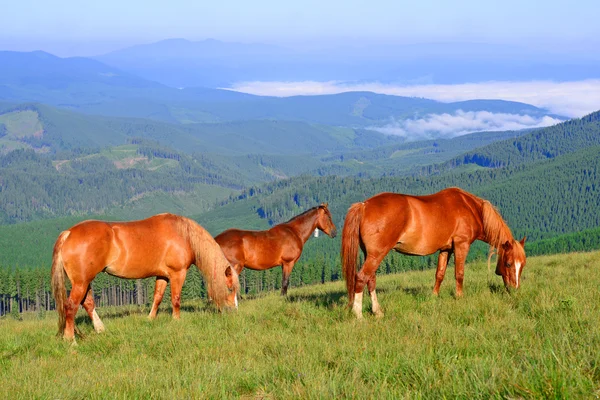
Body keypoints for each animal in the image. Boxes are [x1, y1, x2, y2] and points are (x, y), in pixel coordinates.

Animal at [51, 212, 239, 340]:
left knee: (88, 303)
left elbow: (157, 297)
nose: (234, 312)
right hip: (81, 282)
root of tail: (69, 233)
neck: (184, 235)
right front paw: (176, 320)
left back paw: (100, 329)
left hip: (85, 281)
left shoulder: (163, 276)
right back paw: (71, 340)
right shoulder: (177, 273)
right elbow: (176, 299)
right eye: (230, 288)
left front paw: (150, 319)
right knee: (71, 306)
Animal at [342, 188, 524, 318]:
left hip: (371, 254)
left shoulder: (445, 249)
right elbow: (459, 274)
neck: (470, 208)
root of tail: (364, 205)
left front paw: (434, 297)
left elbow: (440, 274)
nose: (515, 290)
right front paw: (459, 297)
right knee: (361, 278)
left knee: (371, 280)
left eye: (522, 266)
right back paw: (358, 314)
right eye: (508, 264)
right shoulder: (461, 245)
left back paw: (377, 312)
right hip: (377, 254)